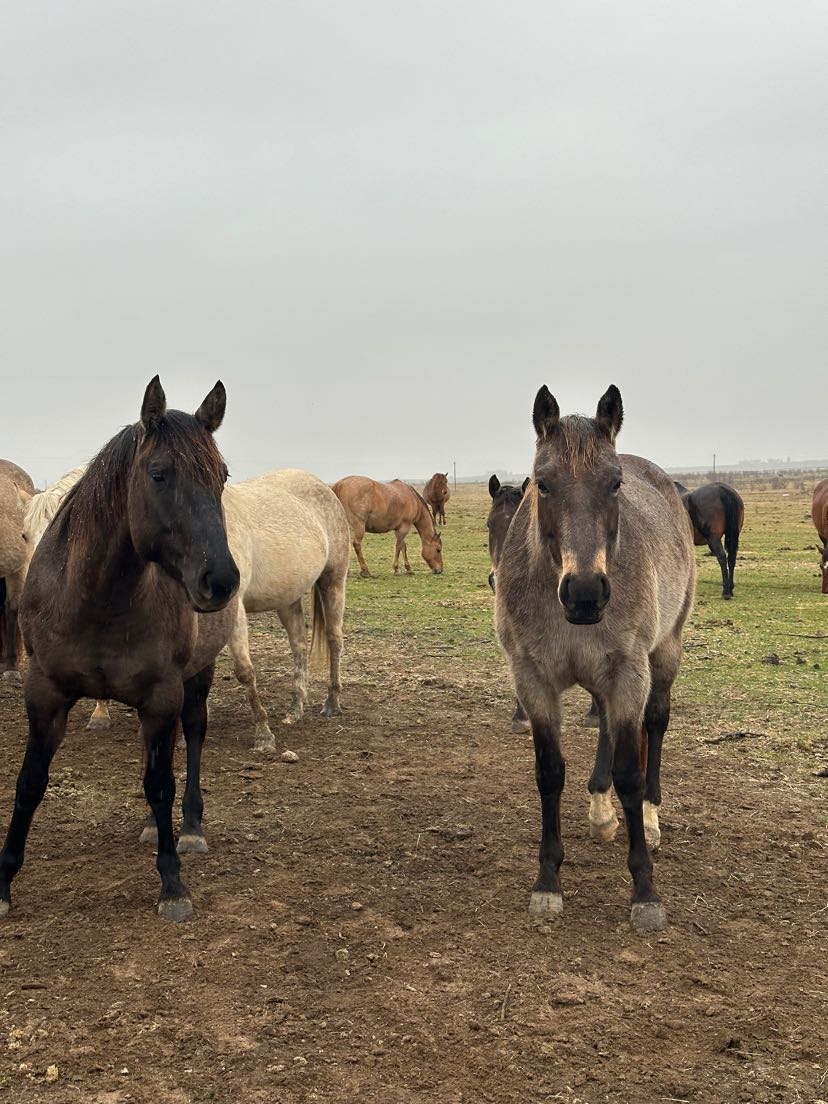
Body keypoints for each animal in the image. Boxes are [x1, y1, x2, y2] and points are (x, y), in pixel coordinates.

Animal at [0, 377, 240, 923]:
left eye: (222, 476)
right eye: (159, 474)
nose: (220, 580)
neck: (97, 600)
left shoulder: (162, 696)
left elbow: (162, 782)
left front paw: (173, 883)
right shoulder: (45, 694)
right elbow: (29, 783)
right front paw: (2, 883)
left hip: (196, 677)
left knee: (192, 736)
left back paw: (188, 827)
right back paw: (154, 825)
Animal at [495, 385, 695, 933]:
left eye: (615, 483)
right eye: (543, 484)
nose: (585, 592)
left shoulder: (629, 672)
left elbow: (630, 770)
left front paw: (645, 891)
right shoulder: (534, 679)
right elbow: (549, 773)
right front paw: (548, 882)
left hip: (663, 655)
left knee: (654, 726)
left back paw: (648, 815)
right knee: (606, 724)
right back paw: (602, 810)